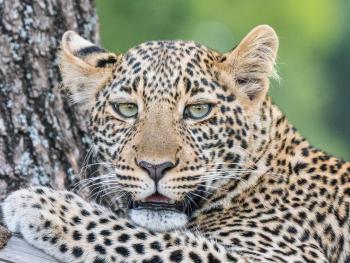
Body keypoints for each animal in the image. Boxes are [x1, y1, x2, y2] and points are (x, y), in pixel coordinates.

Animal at [1, 25, 348, 263]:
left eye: (198, 110)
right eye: (127, 109)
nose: (155, 167)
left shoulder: (286, 256)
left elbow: (161, 240)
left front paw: (46, 206)